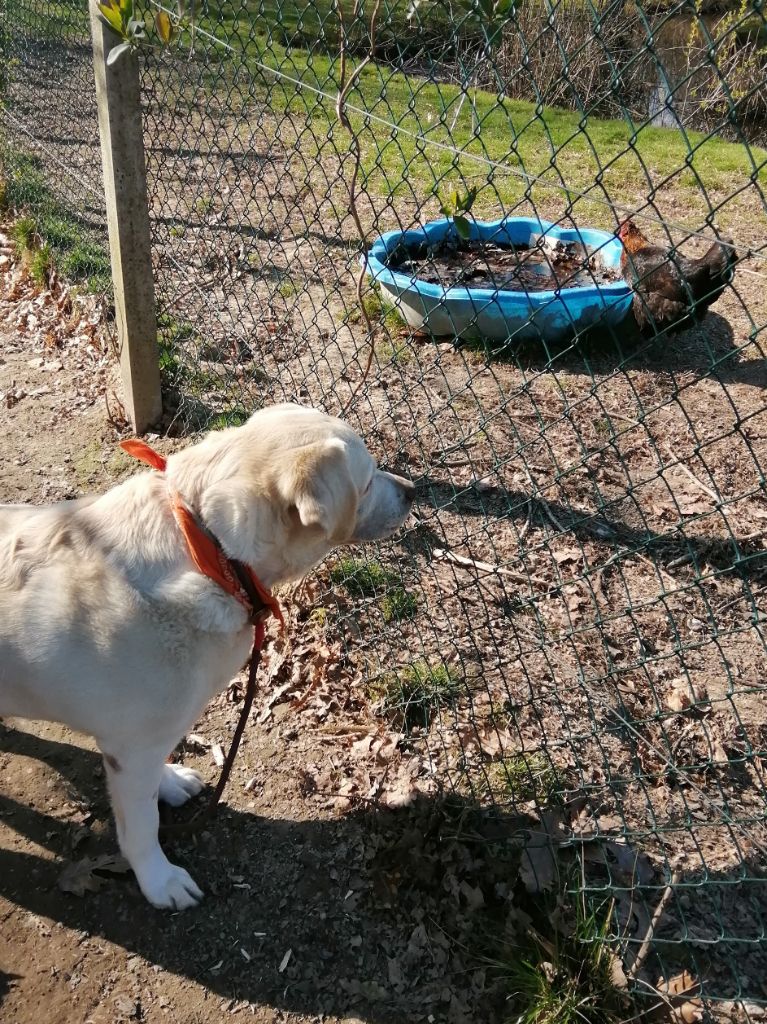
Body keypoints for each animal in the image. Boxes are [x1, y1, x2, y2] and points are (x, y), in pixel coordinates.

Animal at [0, 403, 413, 909]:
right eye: (369, 480)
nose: (413, 492)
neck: (210, 553)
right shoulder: (131, 747)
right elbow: (141, 827)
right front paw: (158, 880)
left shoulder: (141, 743)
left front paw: (169, 783)